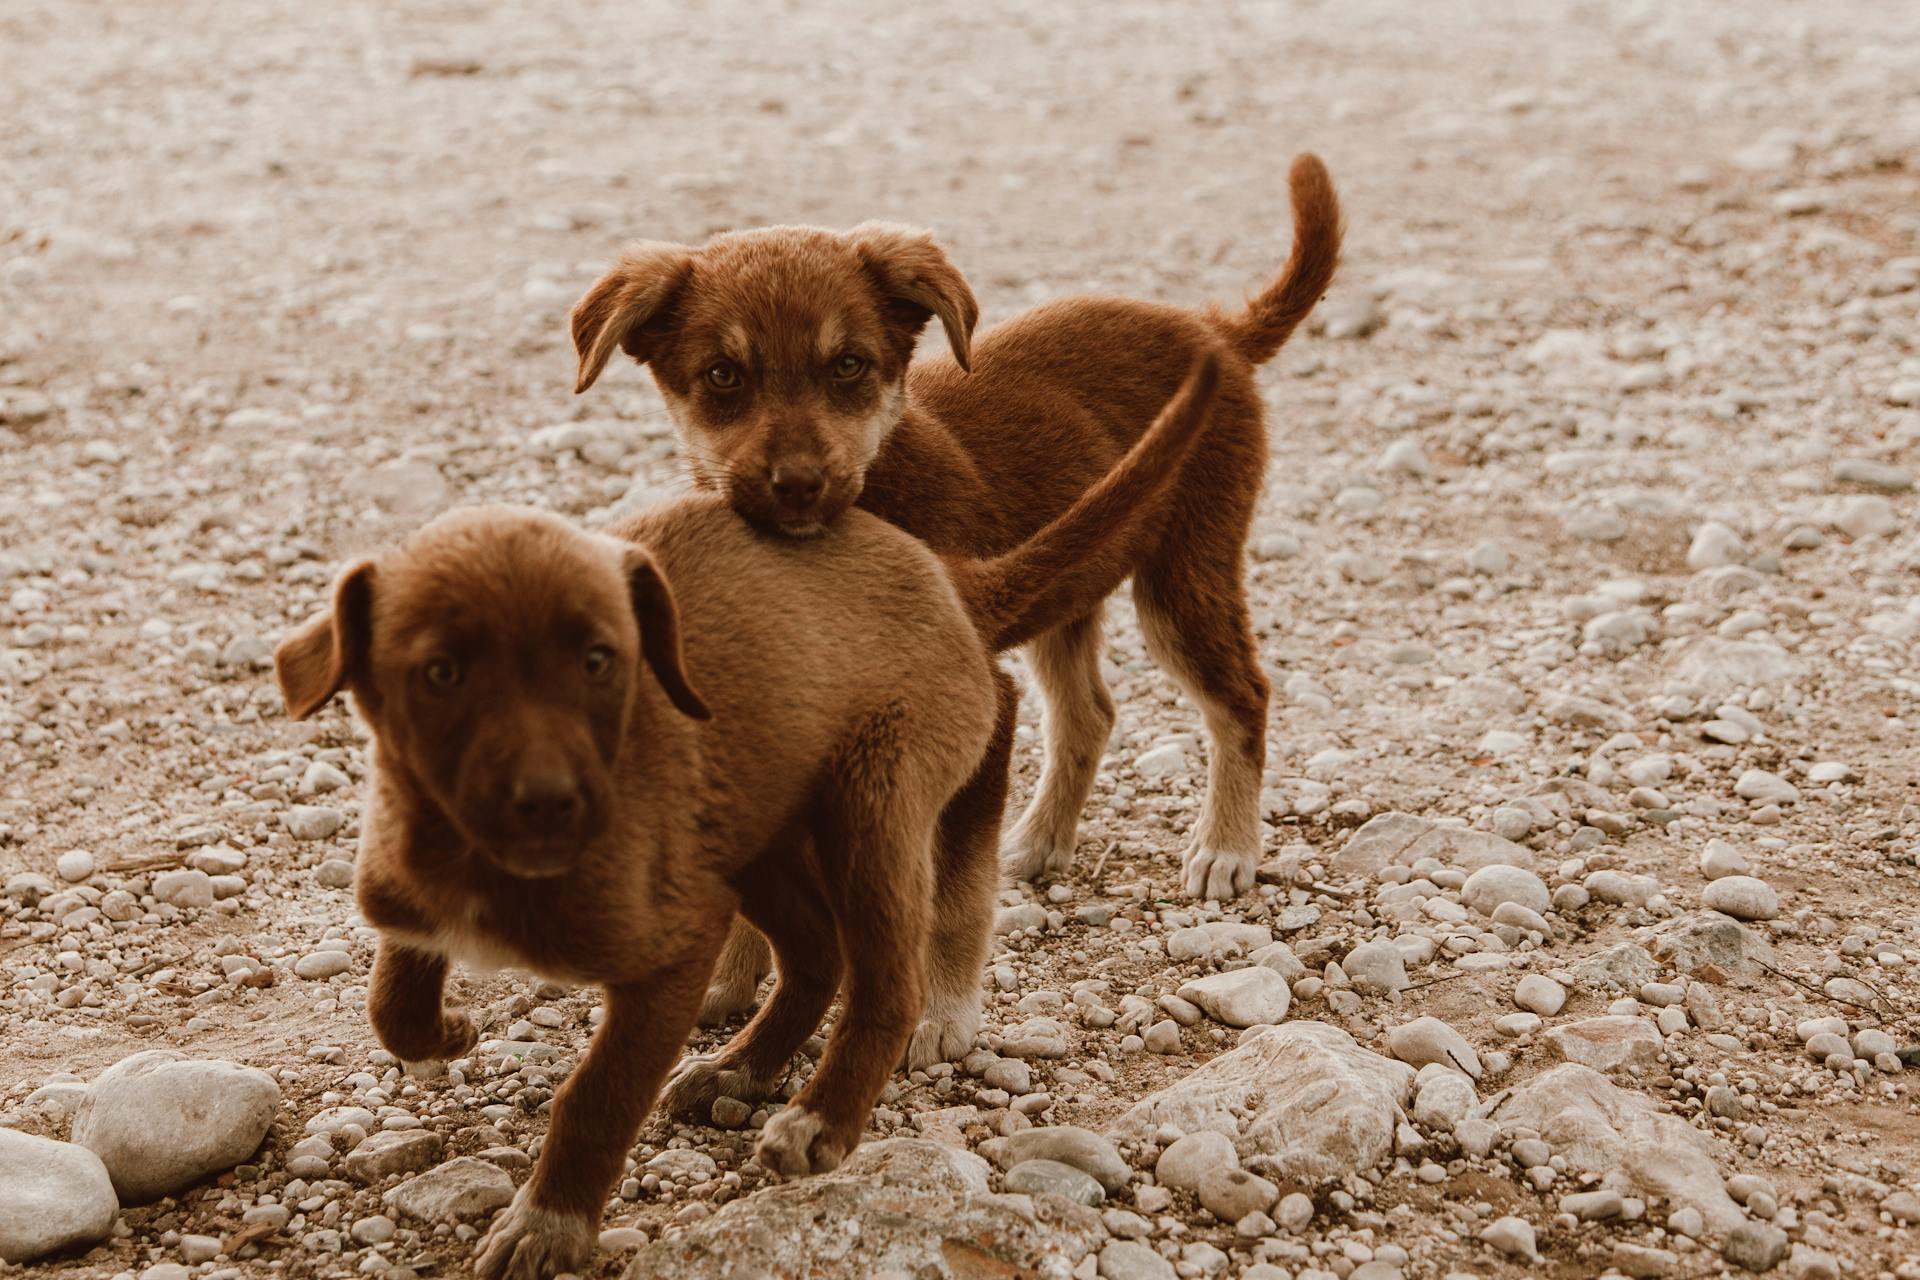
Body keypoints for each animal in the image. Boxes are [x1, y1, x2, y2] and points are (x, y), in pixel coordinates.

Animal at [276, 355, 1213, 1280]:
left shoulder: (675, 949)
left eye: (600, 661)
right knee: (817, 954)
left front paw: (549, 1224)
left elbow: (597, 1095)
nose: (553, 802)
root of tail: (947, 575)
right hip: (759, 829)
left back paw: (821, 1118)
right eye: (439, 673)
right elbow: (391, 1002)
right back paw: (744, 1069)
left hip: (870, 800)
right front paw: (447, 1031)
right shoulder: (408, 891)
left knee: (888, 979)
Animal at [568, 155, 1351, 905]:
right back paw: (1041, 840)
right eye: (722, 375)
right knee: (1089, 714)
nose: (797, 486)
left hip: (1185, 569)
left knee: (1241, 697)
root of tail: (1216, 332)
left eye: (849, 365)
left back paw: (1225, 847)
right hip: (1071, 593)